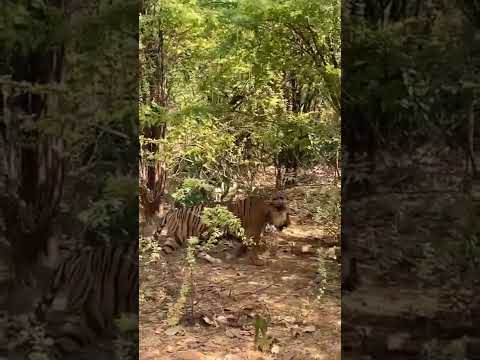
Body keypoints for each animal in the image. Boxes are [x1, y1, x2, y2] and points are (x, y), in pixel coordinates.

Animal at [158, 191, 292, 264]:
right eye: (288, 214)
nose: (289, 224)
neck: (268, 212)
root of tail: (172, 212)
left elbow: (244, 245)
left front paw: (236, 255)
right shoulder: (254, 232)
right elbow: (254, 247)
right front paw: (257, 261)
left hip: (178, 237)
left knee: (167, 250)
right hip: (210, 233)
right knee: (199, 250)